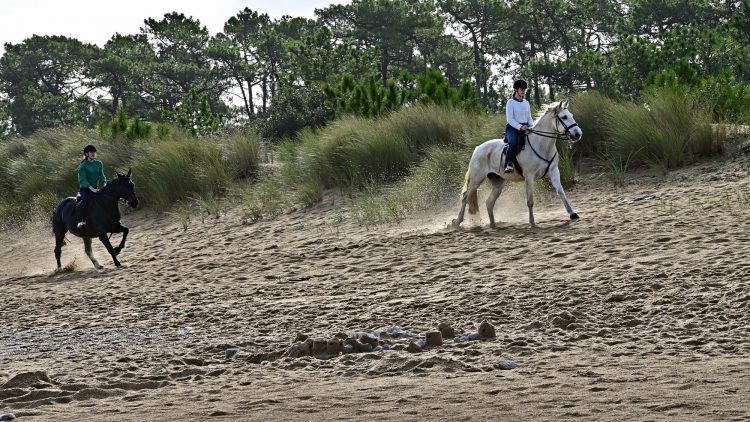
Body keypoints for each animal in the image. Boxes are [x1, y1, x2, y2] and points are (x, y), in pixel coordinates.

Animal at [452, 101, 583, 228]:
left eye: (571, 115)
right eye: (564, 117)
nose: (578, 134)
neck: (541, 145)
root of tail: (478, 148)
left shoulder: (554, 171)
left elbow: (561, 193)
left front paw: (572, 214)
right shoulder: (529, 177)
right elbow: (530, 201)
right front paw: (532, 222)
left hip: (498, 182)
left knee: (489, 202)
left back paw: (493, 225)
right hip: (477, 180)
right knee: (465, 198)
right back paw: (457, 222)